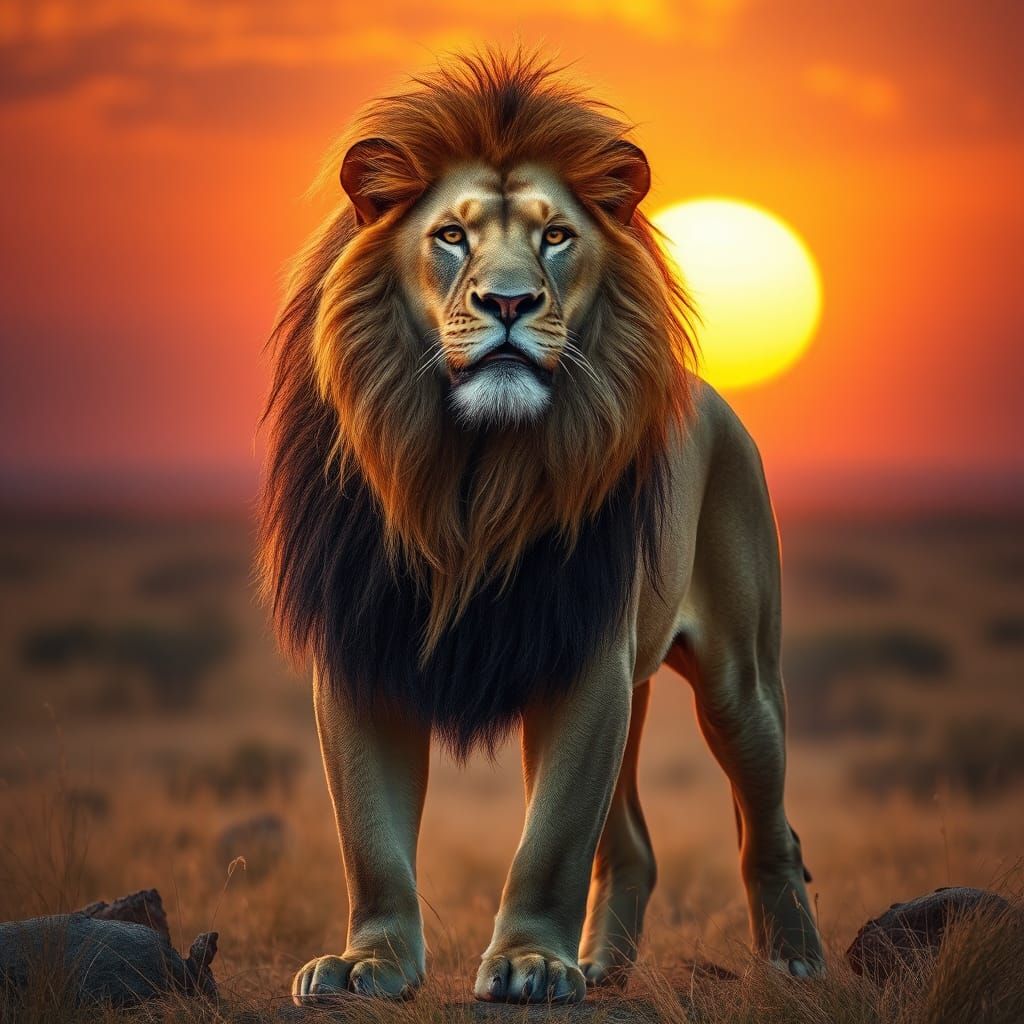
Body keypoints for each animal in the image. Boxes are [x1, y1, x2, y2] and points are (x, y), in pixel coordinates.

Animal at [258, 49, 824, 1005]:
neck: (471, 471)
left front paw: (528, 962)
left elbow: (554, 836)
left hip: (739, 679)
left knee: (768, 826)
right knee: (632, 845)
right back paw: (601, 968)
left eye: (556, 236)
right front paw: (368, 963)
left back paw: (793, 958)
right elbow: (369, 835)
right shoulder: (360, 642)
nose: (510, 303)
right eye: (451, 237)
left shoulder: (585, 656)